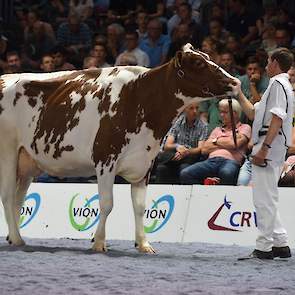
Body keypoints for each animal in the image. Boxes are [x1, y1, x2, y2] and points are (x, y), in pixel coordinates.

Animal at [0, 44, 236, 254]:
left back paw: (14, 237)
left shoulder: (145, 163)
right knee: (8, 195)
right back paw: (17, 239)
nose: (234, 82)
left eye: (207, 56)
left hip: (27, 161)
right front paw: (98, 242)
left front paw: (144, 244)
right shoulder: (106, 159)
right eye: (198, 63)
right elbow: (106, 204)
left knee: (18, 199)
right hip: (8, 152)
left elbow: (140, 207)